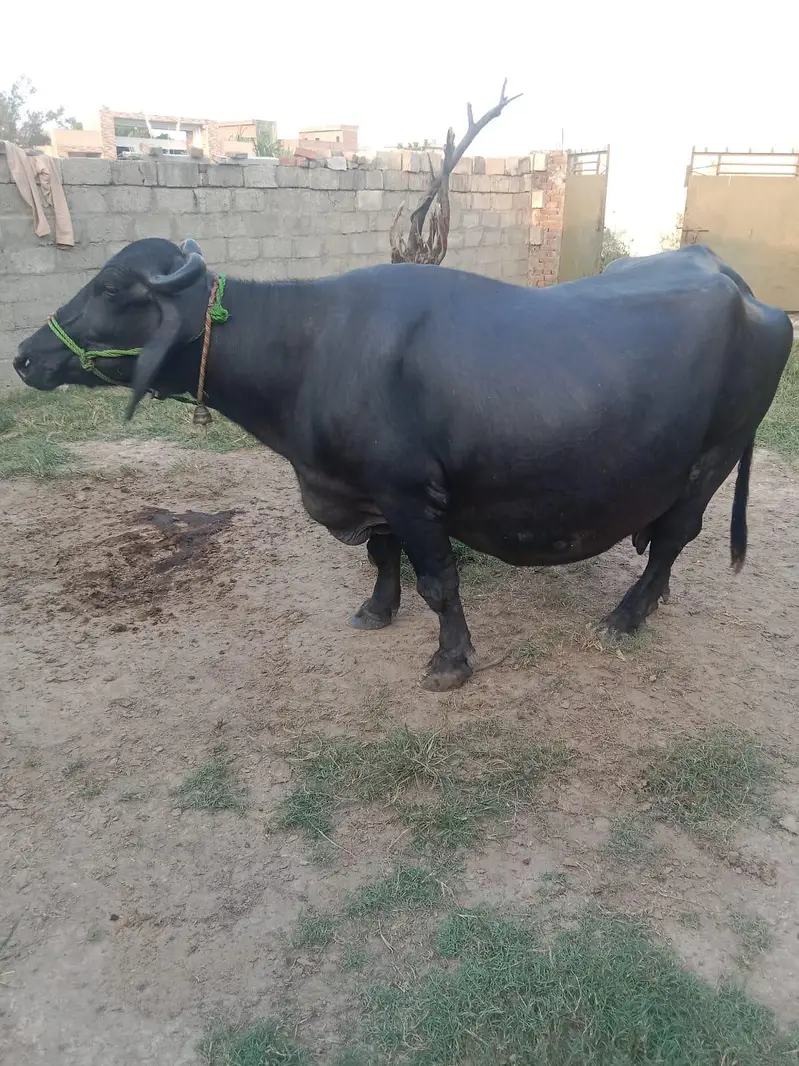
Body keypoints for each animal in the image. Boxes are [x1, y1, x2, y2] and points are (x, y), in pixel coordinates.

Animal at [14, 238, 793, 690]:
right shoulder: (366, 489)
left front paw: (449, 662)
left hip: (714, 458)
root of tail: (747, 293)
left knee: (673, 537)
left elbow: (438, 583)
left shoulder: (412, 495)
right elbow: (380, 558)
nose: (25, 355)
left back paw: (627, 615)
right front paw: (375, 610)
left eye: (111, 290)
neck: (308, 351)